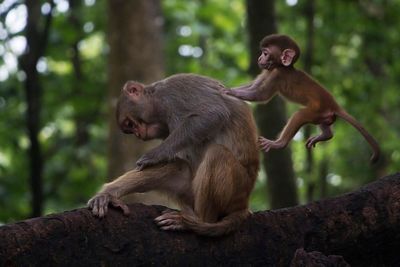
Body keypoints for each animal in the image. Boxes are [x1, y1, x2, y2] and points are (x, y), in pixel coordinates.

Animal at [87, 73, 260, 237]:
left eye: (130, 124)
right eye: (129, 128)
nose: (138, 134)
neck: (157, 101)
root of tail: (244, 204)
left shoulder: (174, 93)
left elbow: (213, 114)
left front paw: (154, 155)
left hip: (238, 188)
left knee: (217, 153)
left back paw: (196, 221)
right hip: (191, 193)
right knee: (177, 166)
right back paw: (108, 195)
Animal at [223, 33, 380, 163]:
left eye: (265, 53)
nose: (260, 58)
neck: (284, 67)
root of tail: (334, 104)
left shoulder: (277, 75)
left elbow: (260, 95)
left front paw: (230, 91)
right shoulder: (269, 71)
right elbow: (253, 86)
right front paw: (226, 87)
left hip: (316, 110)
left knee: (300, 115)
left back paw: (279, 144)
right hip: (323, 114)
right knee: (324, 124)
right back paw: (326, 135)